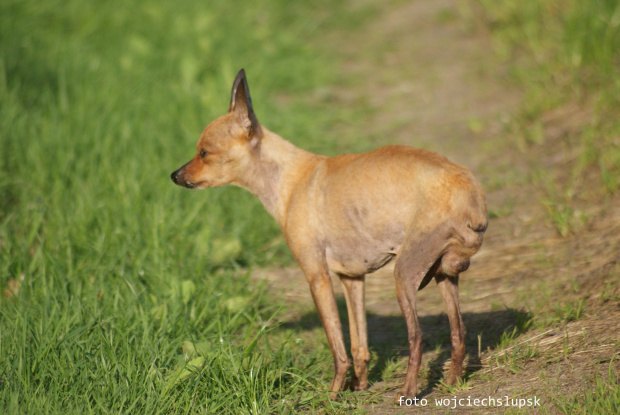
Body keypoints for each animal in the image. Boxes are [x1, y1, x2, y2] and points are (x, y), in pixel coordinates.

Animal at [172, 70, 486, 402]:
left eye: (204, 153)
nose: (174, 175)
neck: (286, 180)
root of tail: (471, 190)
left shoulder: (317, 277)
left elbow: (338, 349)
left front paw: (333, 394)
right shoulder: (352, 279)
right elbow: (359, 346)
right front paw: (359, 386)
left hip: (405, 275)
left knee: (417, 337)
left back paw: (408, 391)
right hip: (444, 276)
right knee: (459, 332)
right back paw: (451, 382)